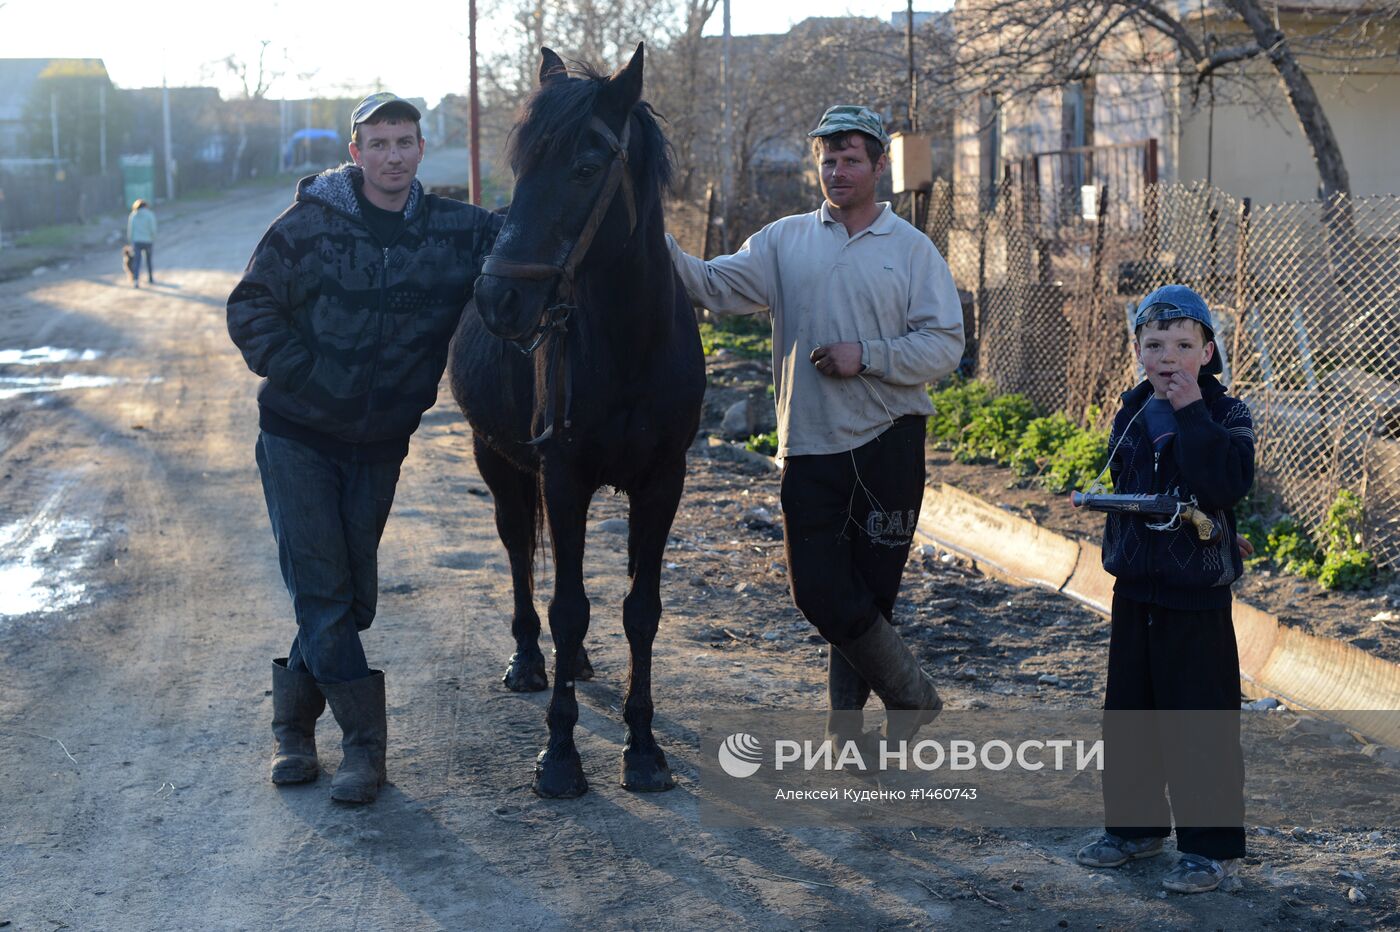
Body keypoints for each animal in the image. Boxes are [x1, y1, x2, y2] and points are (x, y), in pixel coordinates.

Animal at [448, 43, 705, 794]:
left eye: (586, 167)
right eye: (519, 166)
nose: (498, 299)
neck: (631, 342)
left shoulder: (662, 483)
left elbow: (640, 611)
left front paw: (643, 747)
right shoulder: (561, 478)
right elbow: (565, 608)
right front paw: (559, 753)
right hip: (497, 460)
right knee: (517, 552)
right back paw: (530, 662)